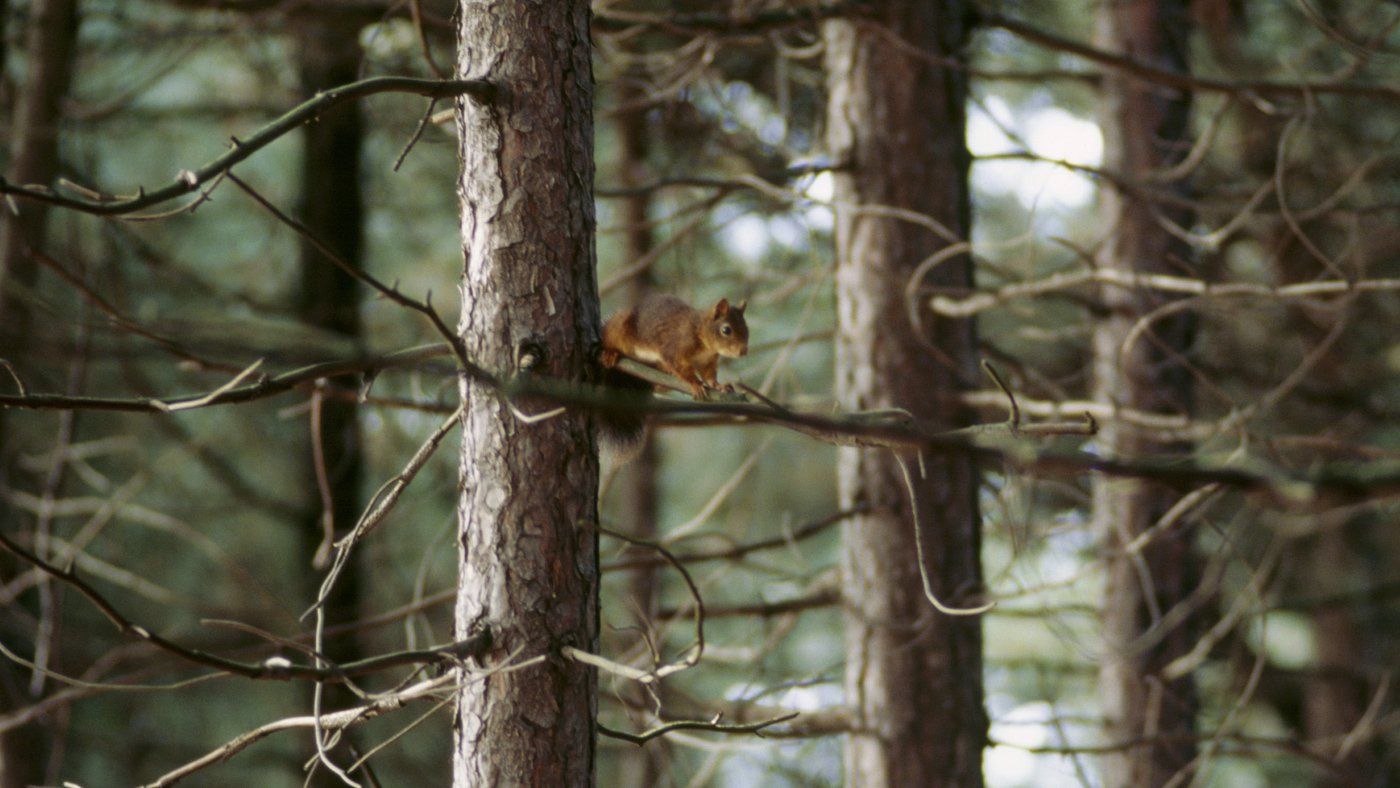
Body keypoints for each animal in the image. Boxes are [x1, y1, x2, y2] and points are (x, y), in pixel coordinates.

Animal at [595, 294, 749, 457]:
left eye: (746, 328)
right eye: (726, 330)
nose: (743, 351)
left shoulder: (707, 362)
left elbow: (709, 376)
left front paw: (720, 386)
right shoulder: (675, 348)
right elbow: (680, 366)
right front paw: (695, 384)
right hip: (618, 328)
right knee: (611, 339)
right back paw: (610, 353)